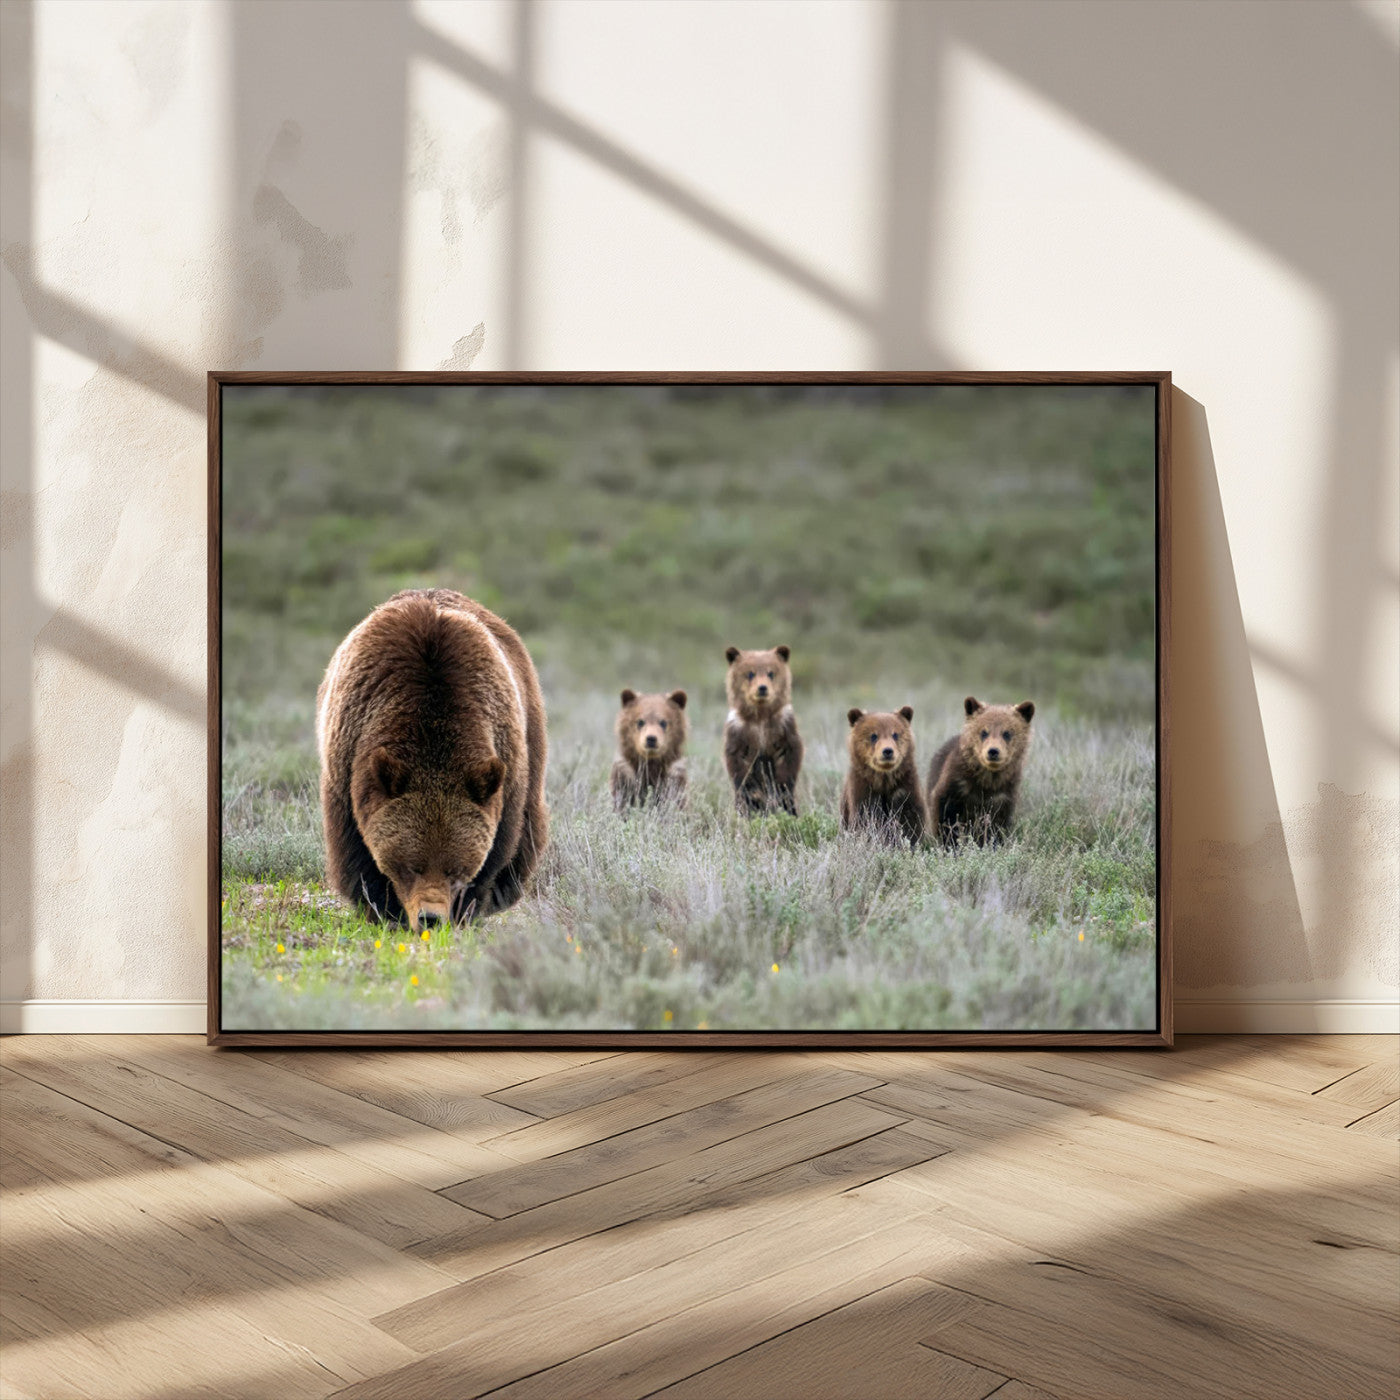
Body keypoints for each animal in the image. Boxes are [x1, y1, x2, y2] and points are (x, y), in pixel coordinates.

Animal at [315, 587, 549, 931]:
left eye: (455, 868)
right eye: (412, 865)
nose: (431, 917)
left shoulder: (504, 764)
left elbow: (498, 848)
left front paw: (466, 910)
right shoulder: (348, 762)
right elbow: (356, 851)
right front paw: (382, 909)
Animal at [723, 644, 804, 815]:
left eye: (771, 673)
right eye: (750, 673)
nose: (762, 688)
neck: (760, 718)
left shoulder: (783, 727)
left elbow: (789, 760)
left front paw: (781, 792)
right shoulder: (739, 732)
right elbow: (739, 767)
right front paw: (753, 797)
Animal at [841, 706, 927, 847]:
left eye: (895, 734)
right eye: (873, 735)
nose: (887, 751)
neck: (884, 780)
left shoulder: (904, 788)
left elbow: (910, 821)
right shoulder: (863, 790)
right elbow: (865, 819)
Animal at [926, 696, 1035, 846]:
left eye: (1007, 733)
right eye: (984, 732)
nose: (993, 751)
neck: (987, 780)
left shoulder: (1003, 794)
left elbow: (997, 825)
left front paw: (992, 843)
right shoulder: (956, 786)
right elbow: (946, 817)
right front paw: (949, 843)